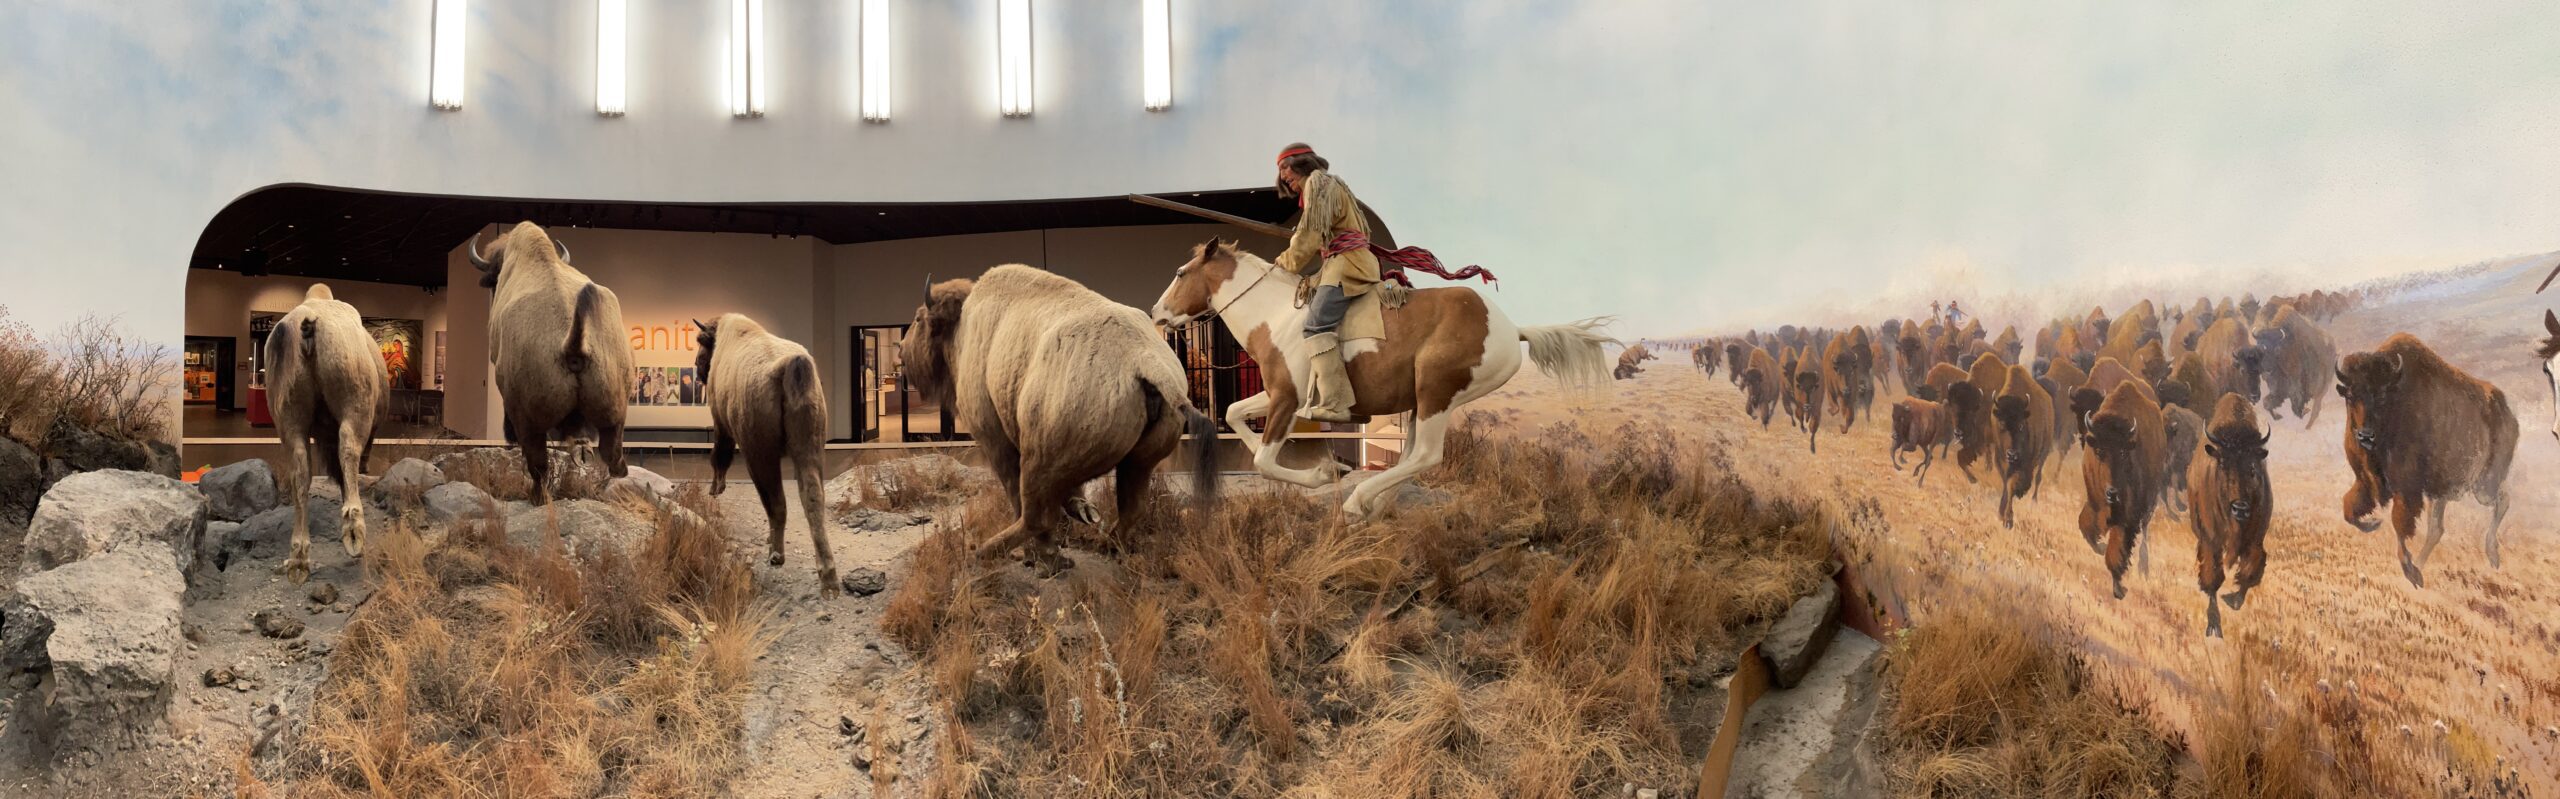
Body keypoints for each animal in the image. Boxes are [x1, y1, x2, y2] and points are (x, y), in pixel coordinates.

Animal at [906, 266, 1213, 573]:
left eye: (919, 319)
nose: (901, 350)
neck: (962, 325)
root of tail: (1145, 360)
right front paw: (1082, 514)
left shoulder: (995, 439)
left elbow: (1015, 491)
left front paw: (1036, 551)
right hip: (1140, 461)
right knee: (1132, 507)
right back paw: (1106, 545)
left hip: (1038, 458)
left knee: (1037, 515)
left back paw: (995, 552)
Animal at [1152, 236, 1607, 517]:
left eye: (1179, 273)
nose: (1156, 313)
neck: (1277, 315)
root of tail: (1512, 331)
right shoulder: (1281, 394)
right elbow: (1233, 414)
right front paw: (1330, 471)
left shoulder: (1286, 399)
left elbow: (1264, 460)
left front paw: (1326, 473)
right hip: (1422, 403)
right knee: (1410, 458)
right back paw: (1378, 505)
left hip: (1436, 392)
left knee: (1426, 455)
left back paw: (1359, 502)